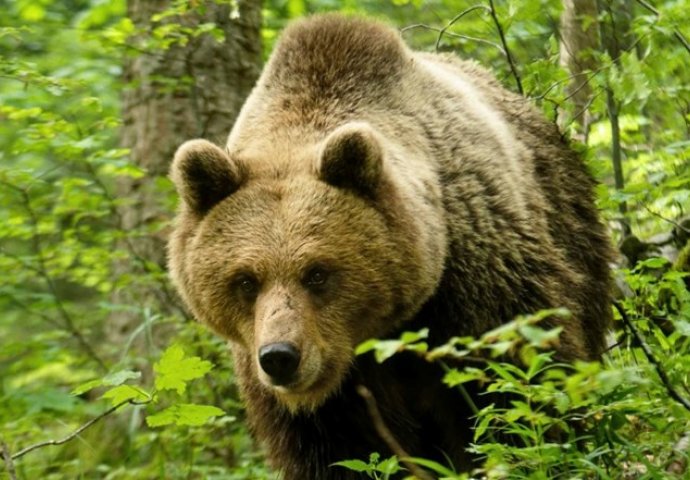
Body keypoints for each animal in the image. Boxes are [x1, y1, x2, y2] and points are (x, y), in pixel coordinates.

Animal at [167, 13, 608, 478]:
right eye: (246, 280)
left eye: (317, 273)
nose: (280, 357)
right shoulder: (317, 395)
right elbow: (340, 450)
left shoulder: (478, 283)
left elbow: (513, 387)